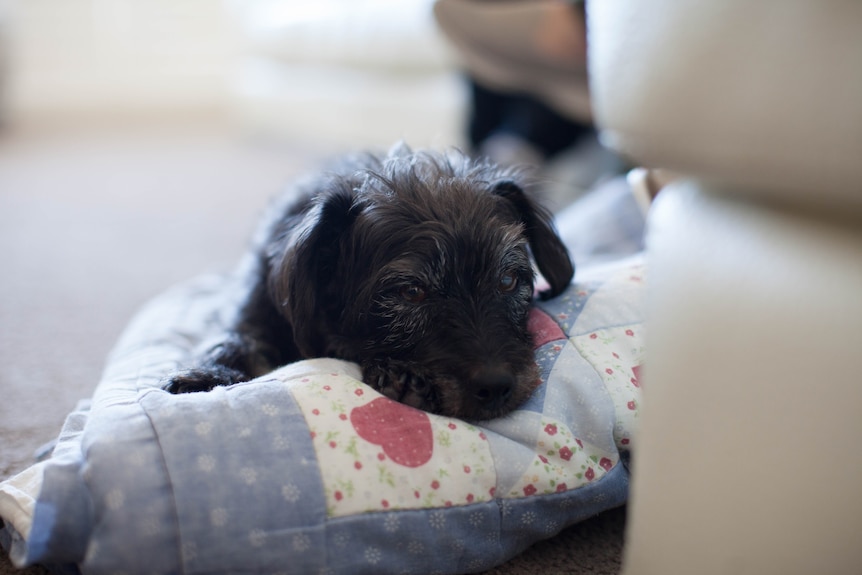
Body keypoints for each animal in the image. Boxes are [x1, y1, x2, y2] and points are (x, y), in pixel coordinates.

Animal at [165, 144, 576, 420]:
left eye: (507, 280)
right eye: (411, 292)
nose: (496, 386)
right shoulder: (252, 306)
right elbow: (237, 336)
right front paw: (208, 374)